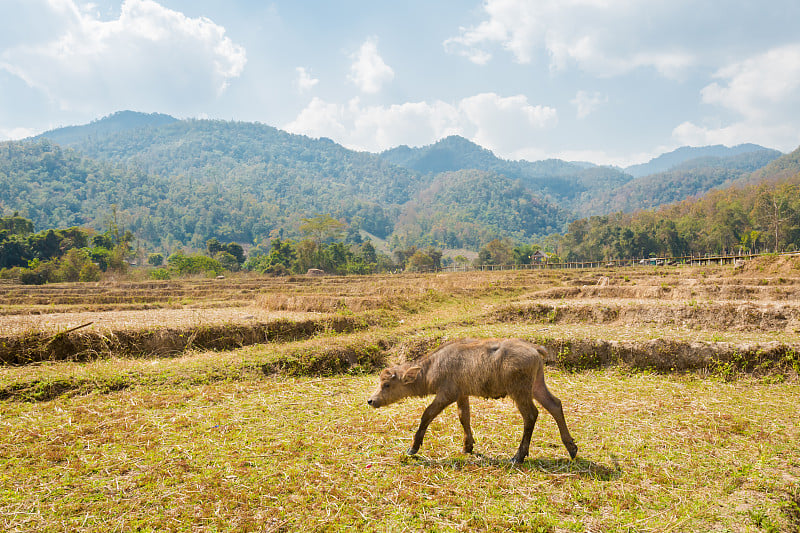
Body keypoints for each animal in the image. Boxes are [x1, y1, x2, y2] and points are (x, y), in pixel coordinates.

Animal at [368, 338, 576, 464]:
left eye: (387, 384)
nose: (371, 400)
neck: (433, 368)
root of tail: (534, 349)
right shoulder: (462, 394)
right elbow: (464, 417)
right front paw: (468, 445)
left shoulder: (447, 394)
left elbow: (427, 415)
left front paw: (413, 447)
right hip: (537, 385)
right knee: (555, 405)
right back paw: (571, 447)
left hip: (520, 391)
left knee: (531, 415)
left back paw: (519, 455)